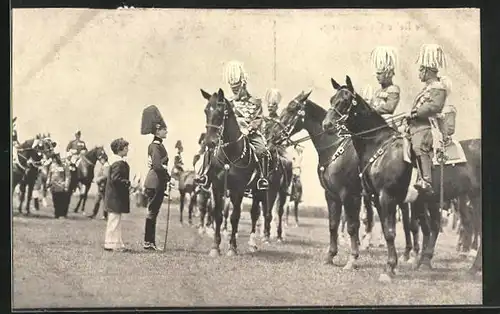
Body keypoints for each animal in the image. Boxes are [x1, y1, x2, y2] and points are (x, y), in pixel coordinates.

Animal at [199, 87, 286, 255]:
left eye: (221, 112)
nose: (209, 142)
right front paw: (215, 247)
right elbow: (218, 215)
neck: (230, 155)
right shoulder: (217, 187)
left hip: (261, 191)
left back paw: (252, 243)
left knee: (255, 214)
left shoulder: (237, 190)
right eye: (206, 110)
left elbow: (235, 216)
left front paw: (232, 247)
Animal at [322, 75, 482, 280]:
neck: (379, 146)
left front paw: (389, 268)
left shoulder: (384, 196)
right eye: (331, 99)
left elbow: (389, 231)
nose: (327, 125)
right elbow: (385, 229)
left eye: (345, 100)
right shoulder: (375, 198)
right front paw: (392, 265)